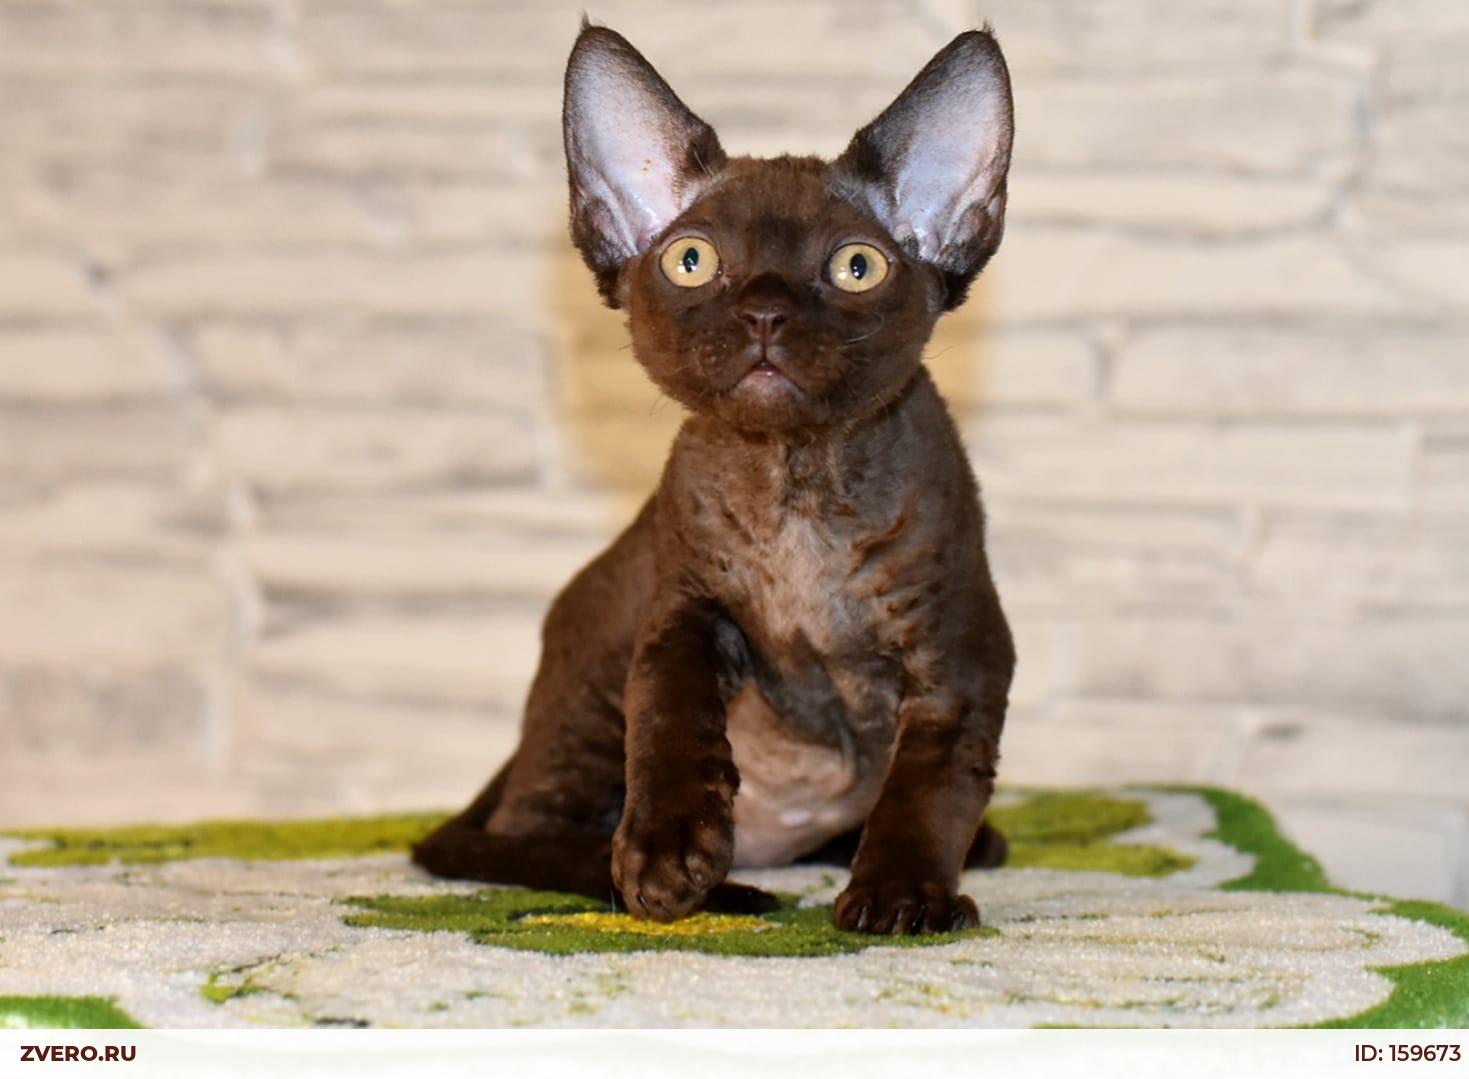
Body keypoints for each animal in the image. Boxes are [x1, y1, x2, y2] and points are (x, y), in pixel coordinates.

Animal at [413, 20, 1016, 936]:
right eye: (692, 261)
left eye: (857, 267)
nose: (764, 311)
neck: (793, 485)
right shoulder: (682, 607)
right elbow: (670, 717)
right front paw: (666, 855)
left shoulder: (959, 652)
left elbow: (929, 783)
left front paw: (900, 892)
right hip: (602, 643)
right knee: (523, 835)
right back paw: (682, 879)